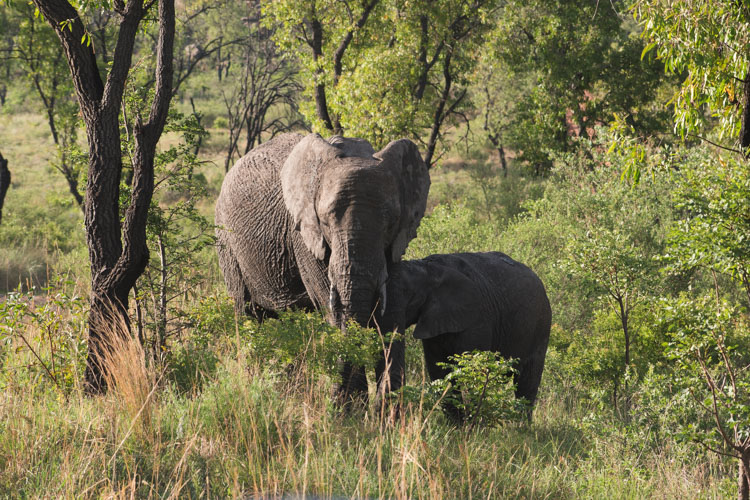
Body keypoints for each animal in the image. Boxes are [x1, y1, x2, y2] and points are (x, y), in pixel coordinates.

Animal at [214, 133, 432, 402]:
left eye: (391, 221)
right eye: (326, 221)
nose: (336, 401)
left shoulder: (395, 242)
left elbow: (390, 312)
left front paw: (387, 409)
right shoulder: (303, 234)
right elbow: (334, 310)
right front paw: (351, 409)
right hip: (226, 240)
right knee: (245, 314)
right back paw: (253, 385)